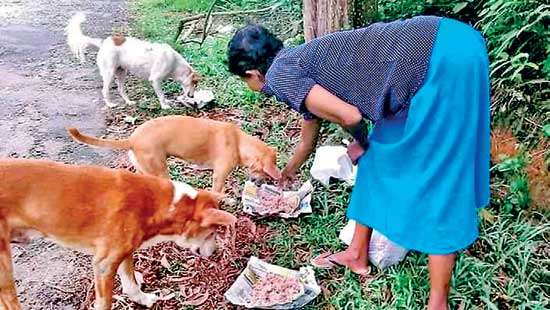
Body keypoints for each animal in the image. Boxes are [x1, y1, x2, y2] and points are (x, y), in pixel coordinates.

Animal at [0, 159, 237, 308]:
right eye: (212, 233)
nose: (215, 253)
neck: (155, 204)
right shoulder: (104, 265)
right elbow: (105, 303)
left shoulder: (124, 252)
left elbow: (131, 284)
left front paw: (143, 300)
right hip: (4, 267)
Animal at [66, 12, 201, 109]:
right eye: (194, 84)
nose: (192, 96)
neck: (175, 64)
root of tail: (103, 43)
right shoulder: (155, 80)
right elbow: (161, 95)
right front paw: (164, 106)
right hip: (109, 73)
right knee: (104, 90)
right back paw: (110, 104)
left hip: (121, 72)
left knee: (120, 89)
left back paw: (128, 102)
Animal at [68, 115, 282, 193]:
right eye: (265, 173)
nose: (258, 184)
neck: (238, 142)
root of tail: (132, 139)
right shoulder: (219, 175)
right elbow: (217, 192)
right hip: (160, 170)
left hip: (145, 170)